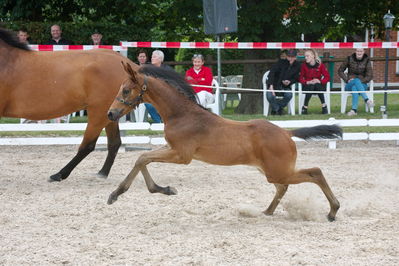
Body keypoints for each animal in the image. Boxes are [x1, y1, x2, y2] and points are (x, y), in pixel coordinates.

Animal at [0, 26, 138, 181]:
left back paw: (59, 174)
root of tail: (128, 64)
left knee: (88, 145)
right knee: (114, 143)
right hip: (111, 114)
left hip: (99, 113)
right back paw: (101, 173)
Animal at [107, 63, 344, 221]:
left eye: (126, 90)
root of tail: (286, 132)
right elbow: (142, 158)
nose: (110, 113)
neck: (182, 114)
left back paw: (333, 211)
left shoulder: (182, 155)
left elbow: (143, 158)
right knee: (283, 186)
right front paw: (158, 189)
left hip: (278, 171)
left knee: (315, 172)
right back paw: (267, 211)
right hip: (270, 170)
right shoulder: (171, 148)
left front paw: (119, 193)